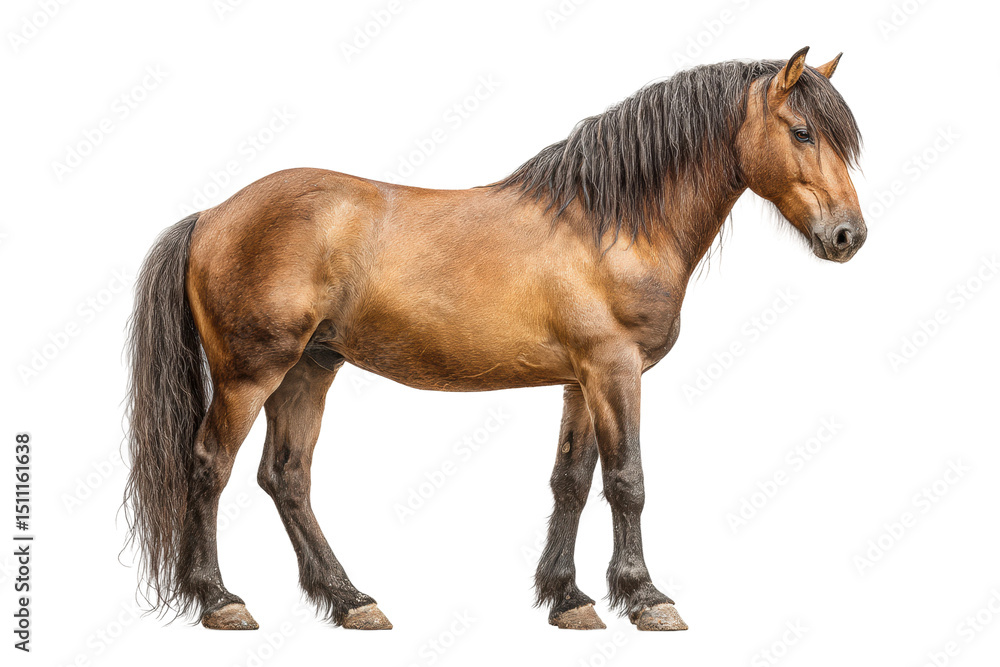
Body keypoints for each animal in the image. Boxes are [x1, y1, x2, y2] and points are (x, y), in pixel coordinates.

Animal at [124, 46, 864, 632]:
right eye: (802, 131)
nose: (847, 235)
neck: (608, 223)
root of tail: (213, 215)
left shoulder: (580, 380)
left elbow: (571, 481)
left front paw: (568, 598)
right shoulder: (614, 369)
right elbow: (627, 480)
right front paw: (646, 597)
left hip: (309, 368)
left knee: (286, 477)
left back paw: (350, 599)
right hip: (252, 373)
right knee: (209, 466)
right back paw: (220, 600)